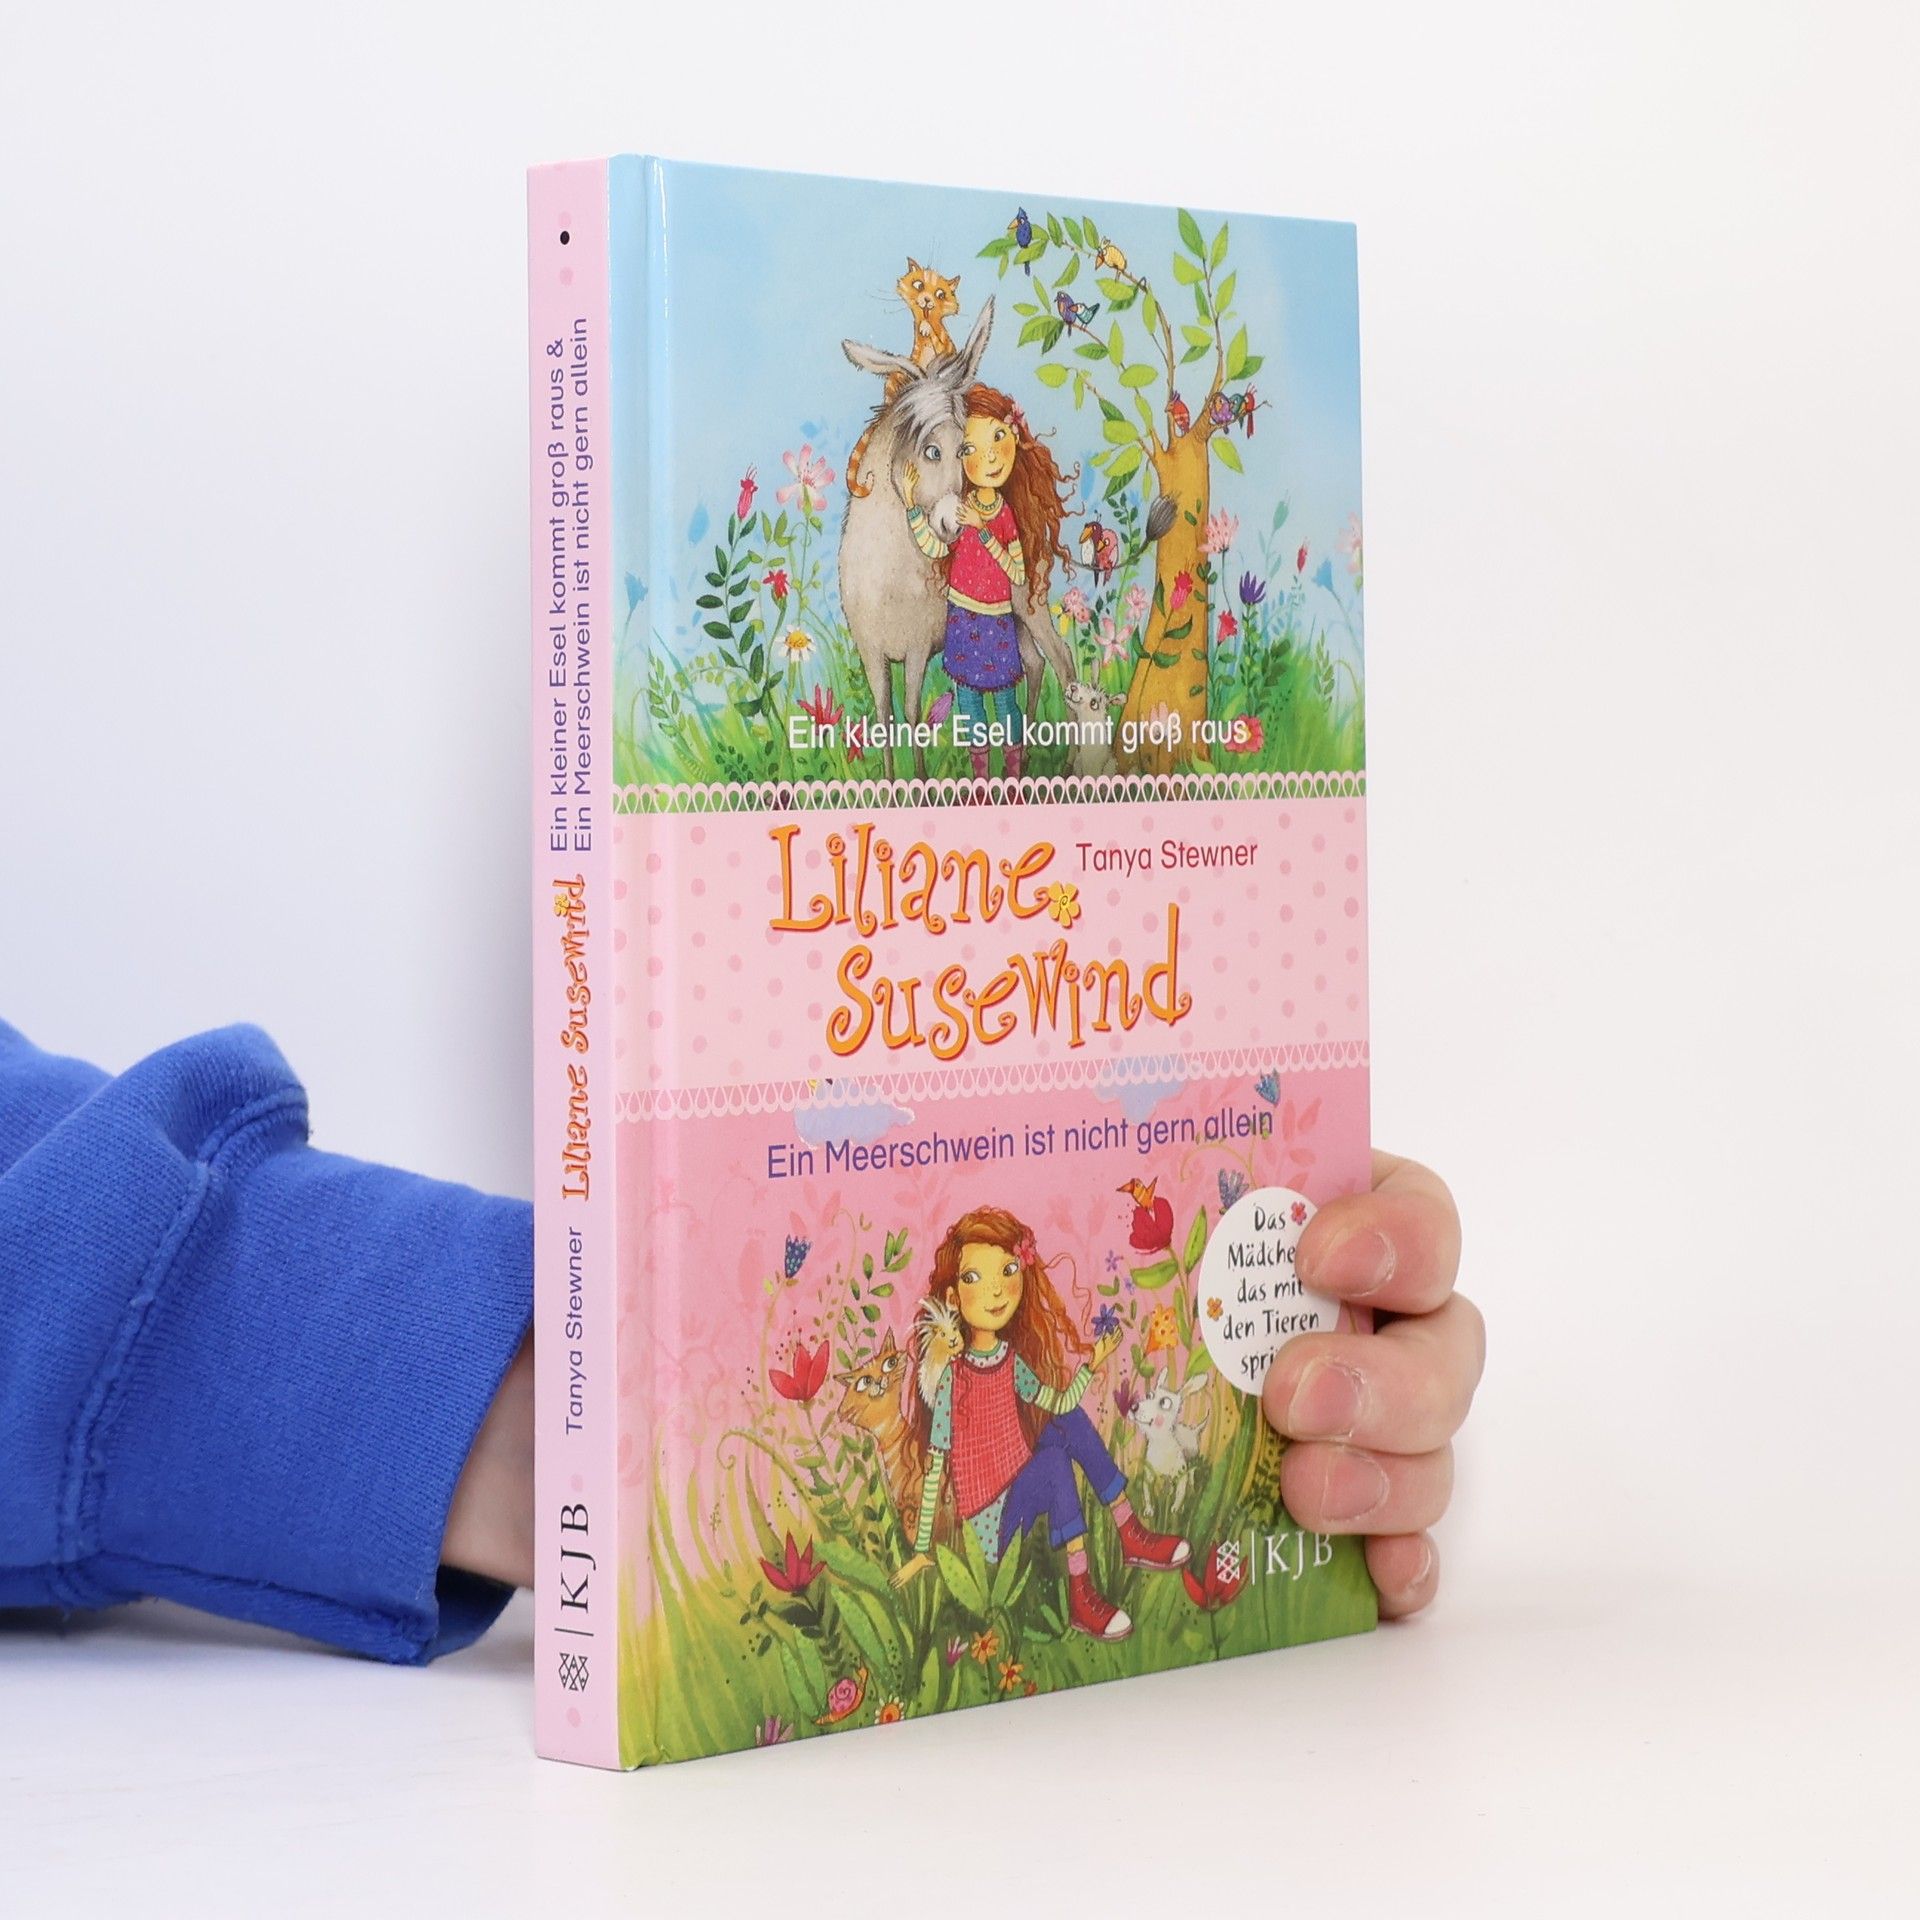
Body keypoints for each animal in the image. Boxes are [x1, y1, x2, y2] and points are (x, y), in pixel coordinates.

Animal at [844, 259, 962, 498]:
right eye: (918, 285)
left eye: (940, 294)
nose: (927, 301)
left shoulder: (946, 347)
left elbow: (937, 334)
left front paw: (928, 326)